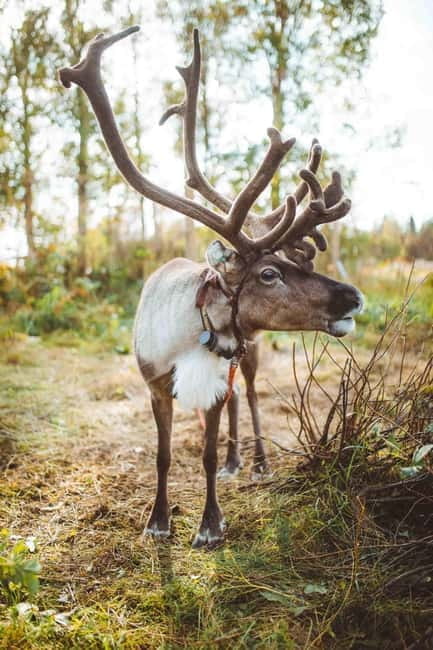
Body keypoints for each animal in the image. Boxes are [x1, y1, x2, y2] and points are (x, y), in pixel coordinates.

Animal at [59, 25, 363, 549]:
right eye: (269, 273)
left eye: (291, 259)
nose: (354, 297)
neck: (193, 335)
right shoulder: (155, 384)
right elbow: (162, 455)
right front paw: (159, 520)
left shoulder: (219, 381)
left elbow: (205, 453)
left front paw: (209, 524)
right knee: (239, 400)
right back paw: (236, 461)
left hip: (252, 355)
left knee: (253, 398)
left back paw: (254, 461)